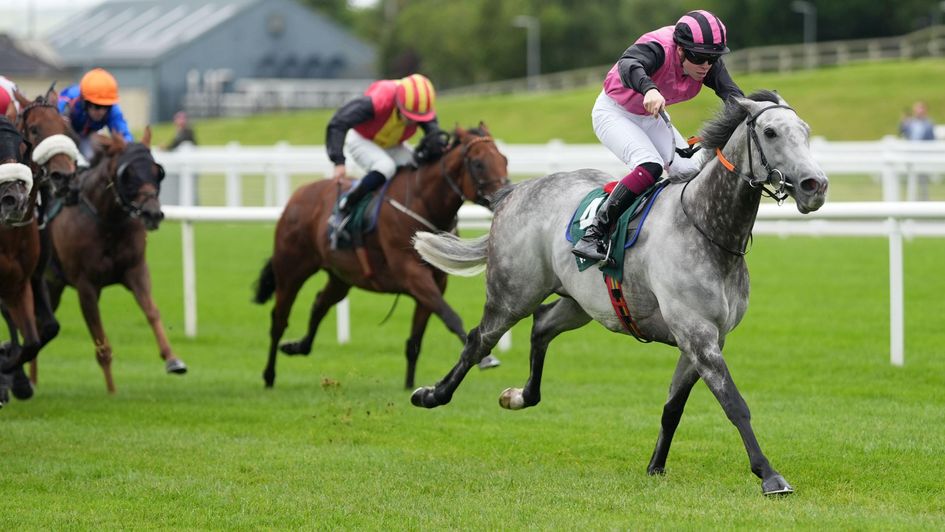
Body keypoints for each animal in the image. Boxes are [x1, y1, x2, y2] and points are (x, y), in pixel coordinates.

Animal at [46, 131, 188, 392]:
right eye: (127, 174)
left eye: (157, 171)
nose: (153, 214)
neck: (108, 221)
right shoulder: (86, 285)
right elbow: (102, 344)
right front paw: (112, 393)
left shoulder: (136, 270)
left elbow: (152, 311)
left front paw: (173, 359)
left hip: (54, 285)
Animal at [253, 125, 508, 390]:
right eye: (478, 163)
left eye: (504, 159)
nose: (506, 193)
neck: (423, 204)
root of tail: (298, 194)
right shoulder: (413, 275)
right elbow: (450, 316)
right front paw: (486, 358)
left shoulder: (436, 282)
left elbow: (415, 341)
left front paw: (409, 385)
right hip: (291, 270)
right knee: (279, 319)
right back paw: (269, 375)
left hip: (341, 277)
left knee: (320, 303)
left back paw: (297, 346)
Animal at [412, 91, 824, 494]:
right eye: (770, 132)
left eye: (805, 131)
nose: (815, 185)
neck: (707, 228)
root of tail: (514, 192)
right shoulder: (697, 334)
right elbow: (734, 403)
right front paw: (769, 475)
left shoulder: (706, 339)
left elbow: (673, 407)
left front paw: (656, 466)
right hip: (513, 293)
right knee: (478, 340)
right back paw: (431, 394)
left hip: (581, 304)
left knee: (541, 325)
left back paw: (518, 396)